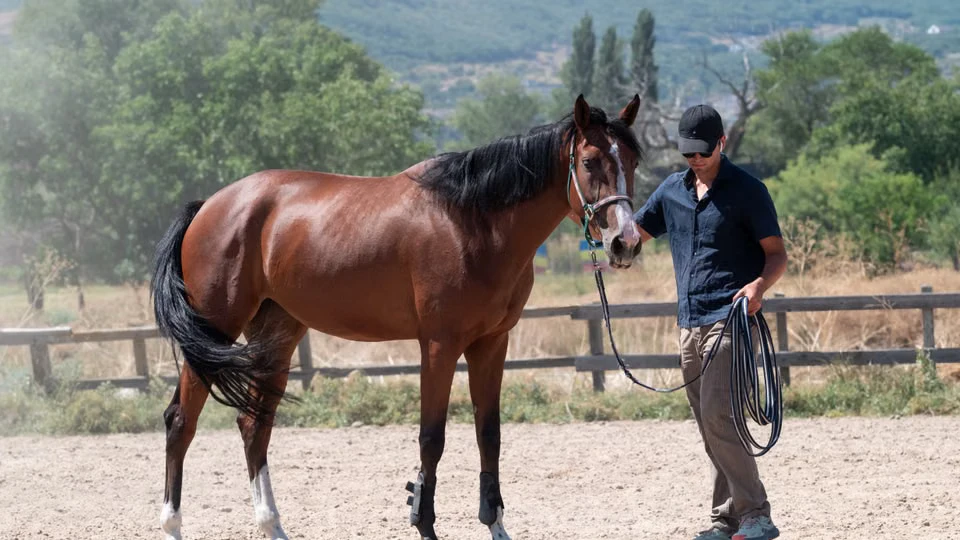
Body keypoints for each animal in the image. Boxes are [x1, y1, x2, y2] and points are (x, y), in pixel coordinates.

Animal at [151, 94, 643, 540]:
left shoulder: (491, 344)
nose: (626, 242)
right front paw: (423, 523)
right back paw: (173, 526)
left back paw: (272, 526)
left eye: (633, 159)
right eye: (590, 160)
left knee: (254, 425)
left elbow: (489, 434)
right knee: (181, 423)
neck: (473, 222)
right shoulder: (440, 346)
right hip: (214, 331)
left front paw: (495, 524)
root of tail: (210, 206)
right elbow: (432, 437)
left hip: (277, 334)